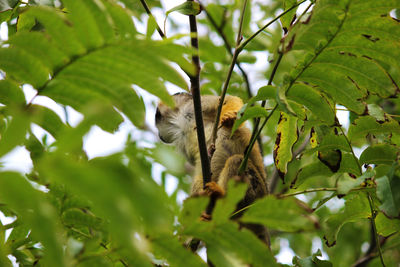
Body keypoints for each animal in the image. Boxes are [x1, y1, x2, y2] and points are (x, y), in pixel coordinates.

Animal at [155, 92, 268, 245]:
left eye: (157, 117)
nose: (160, 136)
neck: (180, 122)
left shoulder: (192, 106)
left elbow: (227, 100)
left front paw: (229, 118)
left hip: (257, 194)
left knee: (236, 160)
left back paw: (221, 197)